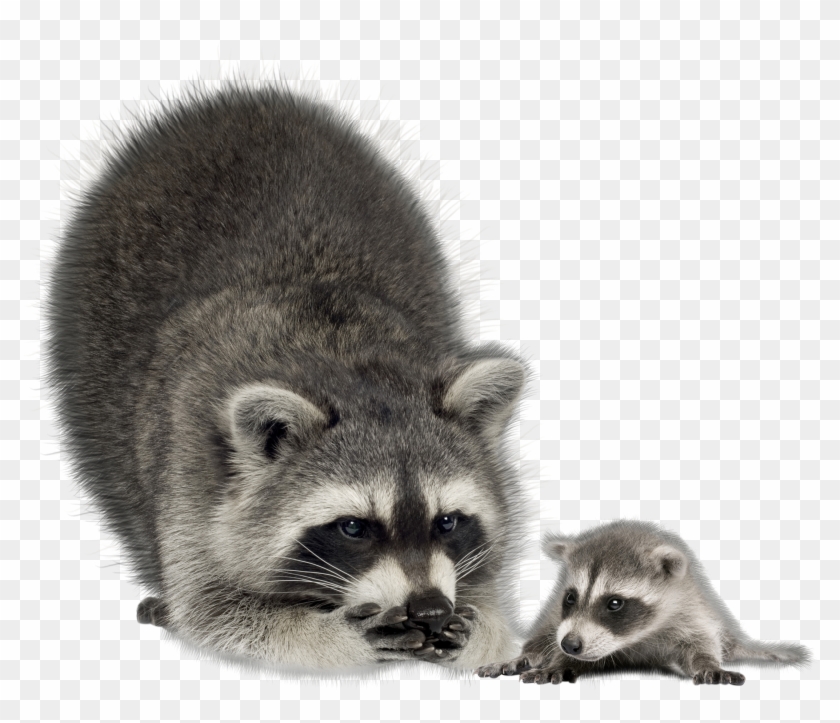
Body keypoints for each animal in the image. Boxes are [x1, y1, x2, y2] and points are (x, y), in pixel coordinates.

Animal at [45, 84, 526, 672]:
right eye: (353, 527)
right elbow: (214, 609)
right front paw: (331, 633)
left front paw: (480, 626)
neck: (344, 361)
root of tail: (245, 99)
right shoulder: (192, 467)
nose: (430, 609)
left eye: (448, 522)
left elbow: (493, 598)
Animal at [476, 520, 810, 685]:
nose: (570, 645)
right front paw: (555, 659)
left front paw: (708, 663)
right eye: (570, 597)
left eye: (614, 603)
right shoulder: (559, 617)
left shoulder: (690, 613)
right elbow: (549, 639)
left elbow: (700, 646)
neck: (634, 640)